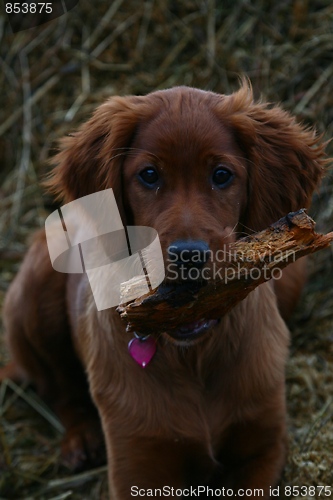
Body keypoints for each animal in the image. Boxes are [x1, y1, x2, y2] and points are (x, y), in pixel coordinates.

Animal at [0, 84, 326, 498]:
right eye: (149, 175)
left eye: (222, 175)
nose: (187, 255)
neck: (193, 356)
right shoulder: (139, 469)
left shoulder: (264, 447)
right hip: (33, 293)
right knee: (57, 386)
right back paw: (80, 441)